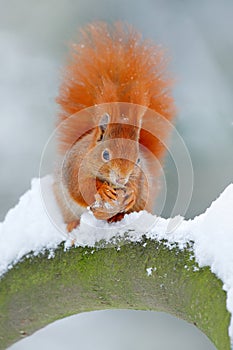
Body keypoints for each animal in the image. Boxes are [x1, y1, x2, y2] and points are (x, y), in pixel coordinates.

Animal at [53, 20, 175, 231]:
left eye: (138, 160)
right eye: (105, 155)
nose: (121, 179)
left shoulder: (141, 178)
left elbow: (137, 186)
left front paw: (131, 191)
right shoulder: (74, 167)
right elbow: (79, 188)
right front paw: (102, 190)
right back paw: (73, 224)